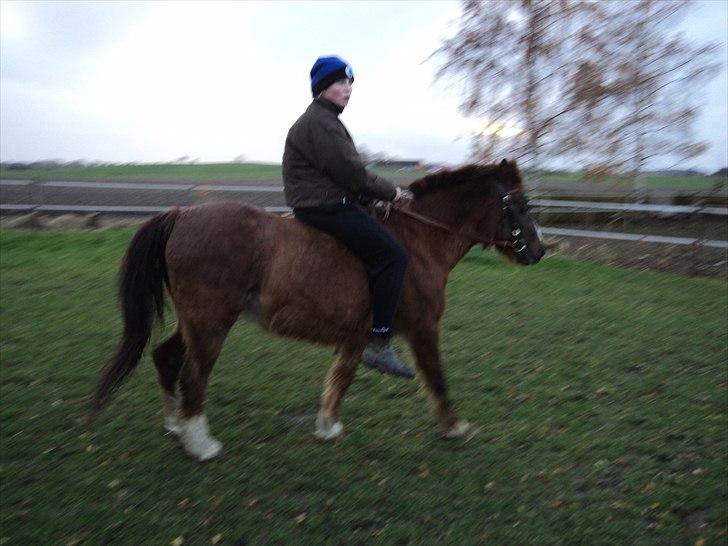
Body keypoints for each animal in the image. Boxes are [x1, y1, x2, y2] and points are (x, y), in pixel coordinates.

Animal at [92, 159, 545, 461]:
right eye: (520, 206)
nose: (539, 252)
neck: (420, 241)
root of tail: (182, 214)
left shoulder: (357, 334)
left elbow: (341, 378)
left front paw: (328, 425)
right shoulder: (422, 327)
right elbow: (436, 376)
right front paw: (456, 426)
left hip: (196, 321)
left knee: (165, 358)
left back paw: (175, 426)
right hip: (211, 322)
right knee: (193, 374)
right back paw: (200, 443)